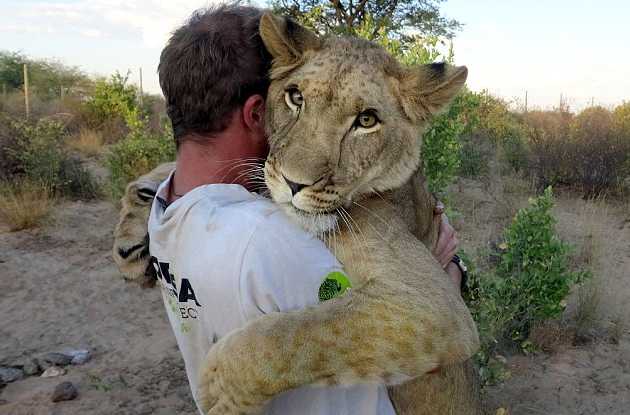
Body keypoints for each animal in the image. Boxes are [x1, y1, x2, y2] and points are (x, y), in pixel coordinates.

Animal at [113, 12, 482, 415]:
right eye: (295, 97)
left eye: (367, 120)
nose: (293, 184)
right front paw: (132, 235)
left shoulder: (430, 305)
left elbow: (302, 334)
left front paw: (218, 387)